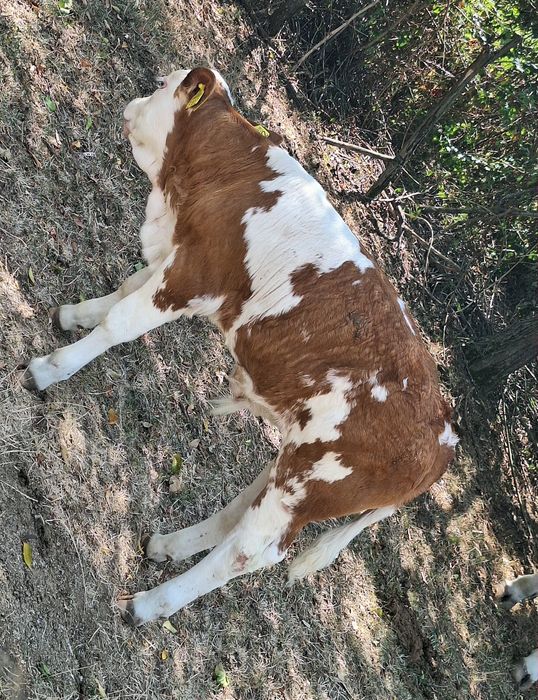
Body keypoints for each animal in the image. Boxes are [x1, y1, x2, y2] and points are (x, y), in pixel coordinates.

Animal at [20, 68, 457, 626]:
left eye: (164, 84)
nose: (132, 101)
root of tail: (445, 433)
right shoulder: (179, 256)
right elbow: (124, 290)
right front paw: (75, 315)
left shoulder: (194, 273)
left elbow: (123, 320)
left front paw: (51, 368)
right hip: (297, 462)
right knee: (239, 515)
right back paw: (167, 545)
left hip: (310, 481)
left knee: (252, 550)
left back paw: (152, 603)